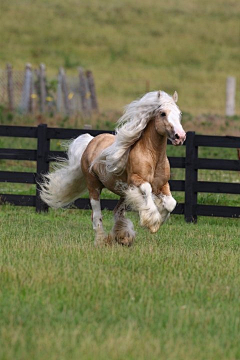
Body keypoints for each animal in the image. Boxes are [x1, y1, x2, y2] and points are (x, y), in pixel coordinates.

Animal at [39, 91, 186, 246]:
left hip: (123, 193)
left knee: (117, 212)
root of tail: (91, 142)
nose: (180, 136)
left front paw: (159, 219)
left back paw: (123, 237)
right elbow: (147, 188)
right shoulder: (135, 180)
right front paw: (152, 221)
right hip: (93, 186)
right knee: (96, 215)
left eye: (179, 113)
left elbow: (171, 203)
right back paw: (101, 241)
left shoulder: (163, 184)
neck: (152, 156)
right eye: (163, 113)